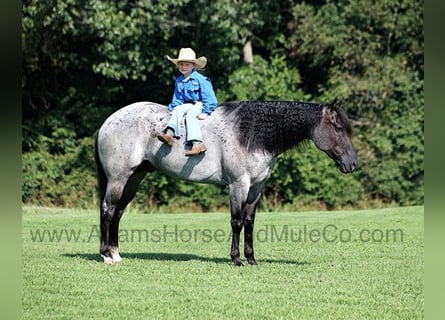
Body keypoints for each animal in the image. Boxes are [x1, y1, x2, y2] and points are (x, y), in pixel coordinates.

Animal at [93, 99, 358, 264]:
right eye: (337, 128)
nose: (353, 163)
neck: (251, 134)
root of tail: (108, 121)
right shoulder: (238, 185)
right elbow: (236, 222)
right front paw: (236, 258)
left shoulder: (257, 187)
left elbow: (250, 222)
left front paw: (251, 258)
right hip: (119, 178)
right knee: (108, 210)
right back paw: (106, 255)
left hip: (134, 178)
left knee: (118, 212)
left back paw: (116, 253)